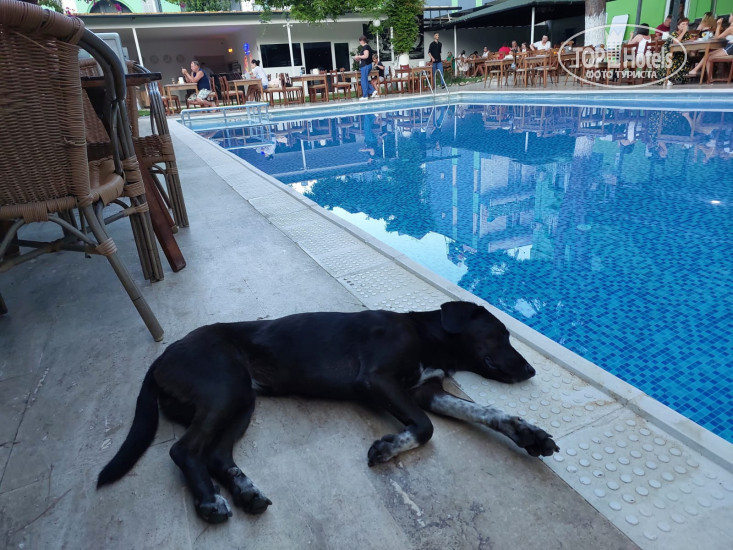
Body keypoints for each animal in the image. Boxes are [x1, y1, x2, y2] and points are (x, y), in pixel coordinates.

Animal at [97, 301, 559, 523]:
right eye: (500, 335)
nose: (531, 371)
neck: (427, 337)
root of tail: (160, 359)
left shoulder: (425, 391)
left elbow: (487, 410)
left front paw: (529, 433)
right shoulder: (377, 380)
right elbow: (426, 429)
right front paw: (389, 447)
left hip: (242, 400)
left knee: (215, 454)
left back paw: (245, 492)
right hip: (223, 388)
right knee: (185, 450)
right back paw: (210, 503)